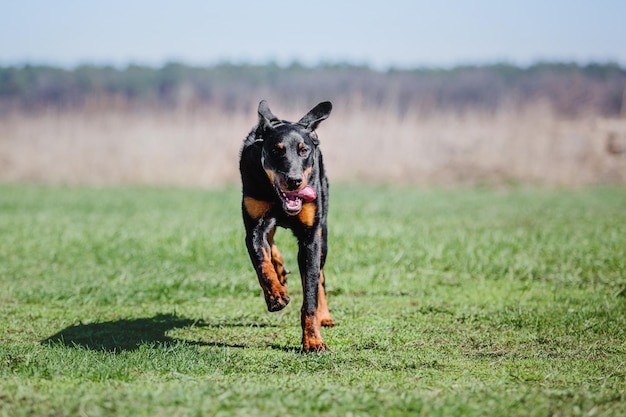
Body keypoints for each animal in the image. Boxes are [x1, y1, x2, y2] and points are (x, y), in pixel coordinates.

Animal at [238, 101, 334, 352]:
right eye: (276, 150)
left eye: (303, 150)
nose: (294, 180)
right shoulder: (254, 228)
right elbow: (262, 263)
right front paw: (275, 295)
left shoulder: (311, 237)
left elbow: (310, 293)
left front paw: (313, 341)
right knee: (270, 242)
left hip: (323, 233)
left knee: (320, 277)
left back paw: (325, 315)